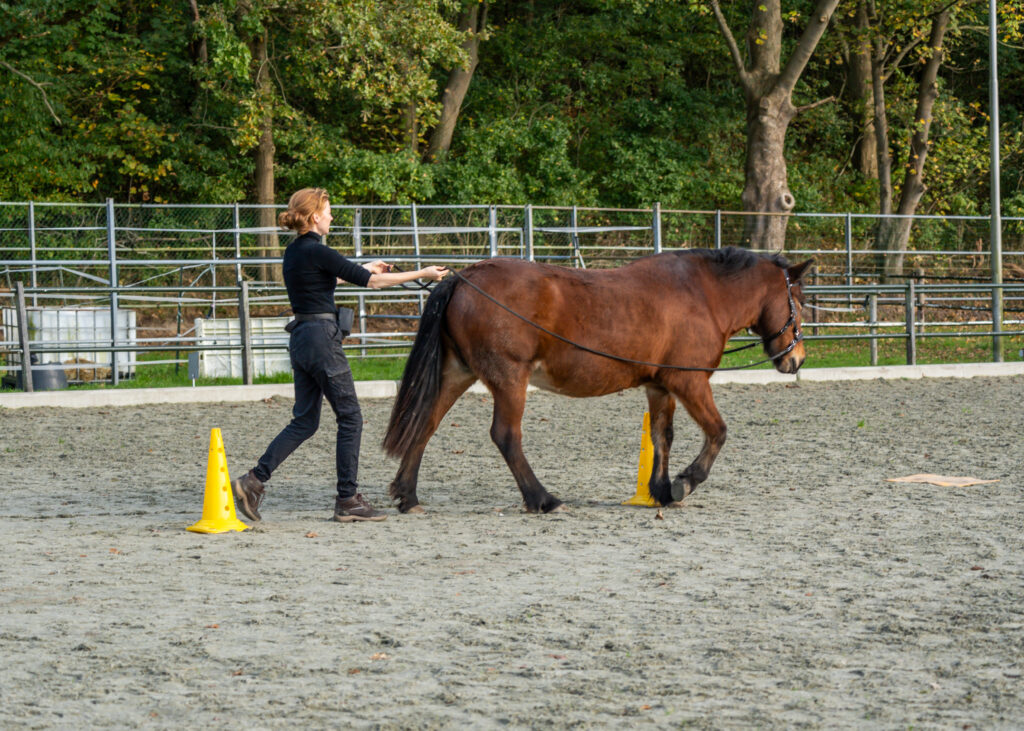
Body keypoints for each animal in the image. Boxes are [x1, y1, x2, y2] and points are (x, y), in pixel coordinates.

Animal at [383, 246, 812, 513]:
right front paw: (684, 482)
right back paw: (543, 498)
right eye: (800, 302)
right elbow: (718, 432)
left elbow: (662, 437)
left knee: (425, 425)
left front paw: (659, 490)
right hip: (509, 379)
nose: (796, 359)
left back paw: (407, 495)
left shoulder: (660, 387)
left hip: (457, 373)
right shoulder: (689, 383)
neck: (702, 295)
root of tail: (466, 277)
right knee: (505, 436)